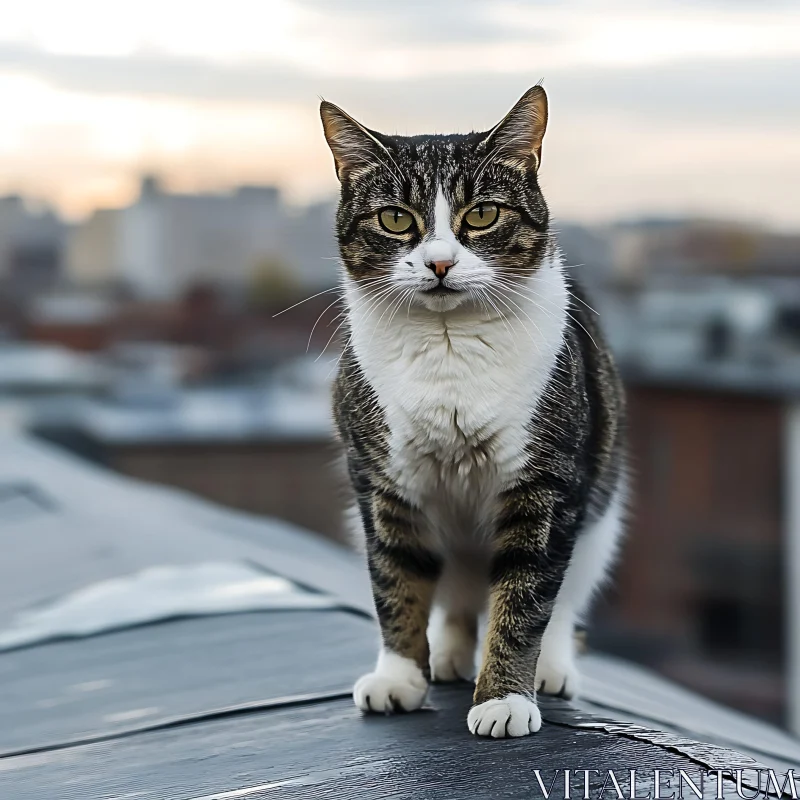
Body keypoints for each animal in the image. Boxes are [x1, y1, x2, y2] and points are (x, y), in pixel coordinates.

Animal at [318, 86, 624, 736]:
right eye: (395, 219)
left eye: (481, 214)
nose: (439, 263)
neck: (448, 346)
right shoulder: (381, 481)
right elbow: (395, 579)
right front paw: (399, 677)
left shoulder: (546, 481)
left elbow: (526, 595)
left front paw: (504, 698)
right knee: (454, 595)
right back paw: (450, 655)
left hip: (600, 515)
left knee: (564, 597)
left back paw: (548, 669)